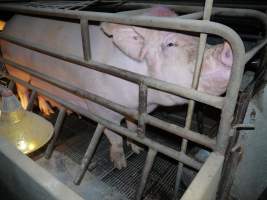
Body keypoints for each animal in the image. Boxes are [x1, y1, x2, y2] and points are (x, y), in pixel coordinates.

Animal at [0, 6, 232, 169]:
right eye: (171, 44)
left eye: (197, 38)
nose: (228, 48)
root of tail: (10, 23)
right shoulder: (101, 109)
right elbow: (115, 137)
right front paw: (121, 164)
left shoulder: (136, 110)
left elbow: (130, 127)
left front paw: (138, 149)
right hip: (16, 68)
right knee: (23, 90)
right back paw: (33, 109)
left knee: (40, 92)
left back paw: (50, 110)